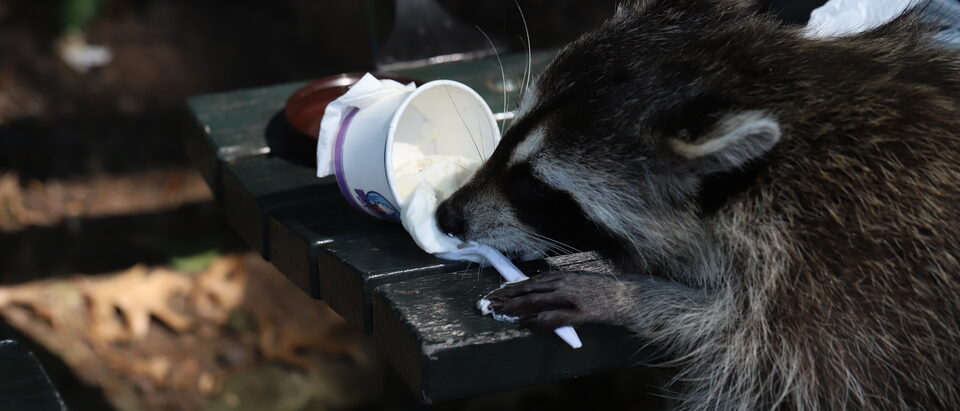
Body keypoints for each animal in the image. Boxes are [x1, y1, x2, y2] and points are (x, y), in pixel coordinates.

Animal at [436, 0, 960, 409]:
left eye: (537, 187)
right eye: (508, 138)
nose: (446, 215)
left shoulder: (853, 275)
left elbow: (756, 355)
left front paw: (630, 298)